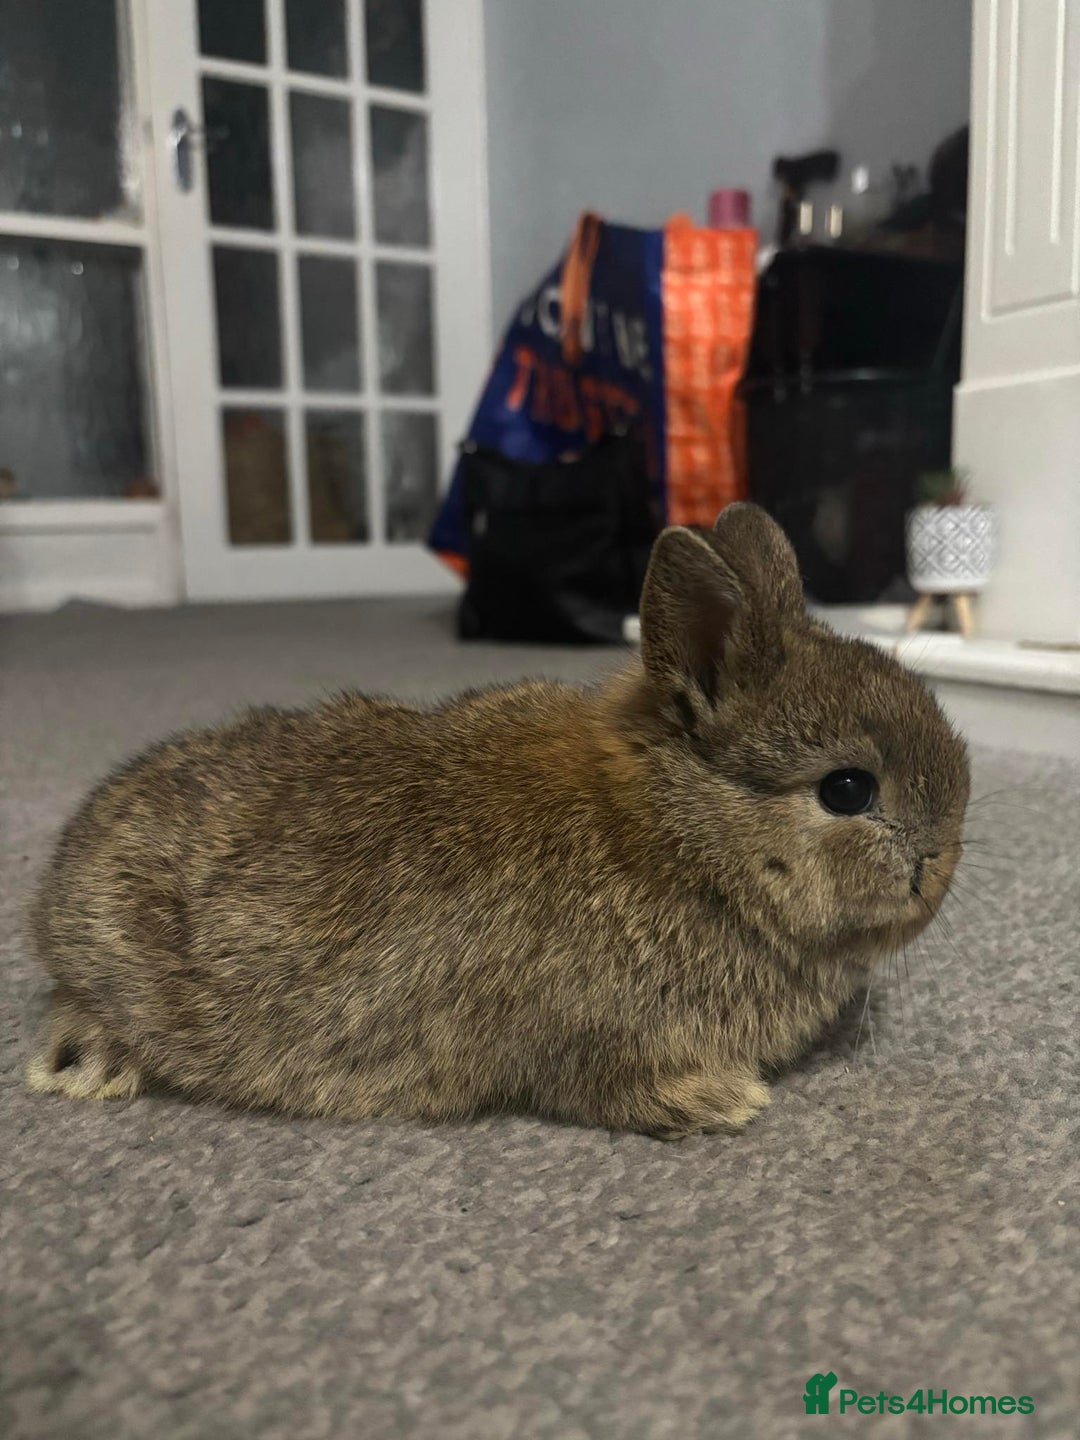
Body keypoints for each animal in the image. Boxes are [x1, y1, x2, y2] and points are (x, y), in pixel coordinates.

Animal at [27, 504, 969, 1138]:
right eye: (847, 790)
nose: (942, 864)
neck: (682, 836)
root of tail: (58, 890)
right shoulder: (599, 1039)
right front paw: (723, 1101)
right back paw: (86, 1069)